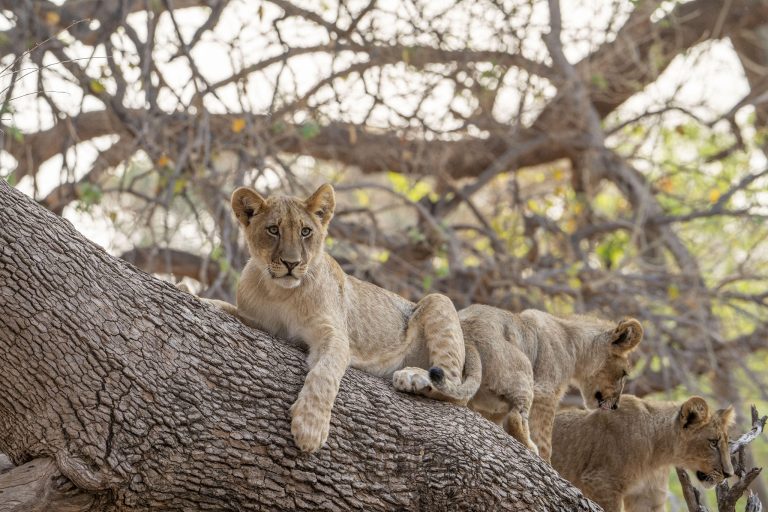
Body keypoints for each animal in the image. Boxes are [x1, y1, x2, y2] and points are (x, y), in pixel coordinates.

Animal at [200, 184, 481, 452]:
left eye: (305, 232)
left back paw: (414, 377)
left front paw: (309, 428)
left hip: (438, 301)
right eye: (273, 230)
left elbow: (324, 373)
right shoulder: (257, 322)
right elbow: (226, 307)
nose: (292, 263)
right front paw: (202, 300)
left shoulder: (333, 334)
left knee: (456, 391)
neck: (279, 293)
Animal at [459, 305, 642, 461]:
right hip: (523, 369)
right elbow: (545, 441)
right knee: (515, 418)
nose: (615, 406)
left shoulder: (493, 409)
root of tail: (468, 338)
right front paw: (548, 465)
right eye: (624, 373)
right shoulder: (546, 392)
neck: (574, 343)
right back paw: (531, 448)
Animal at [551, 394, 735, 512]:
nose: (729, 474)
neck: (658, 455)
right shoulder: (601, 482)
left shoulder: (647, 496)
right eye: (713, 443)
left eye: (726, 442)